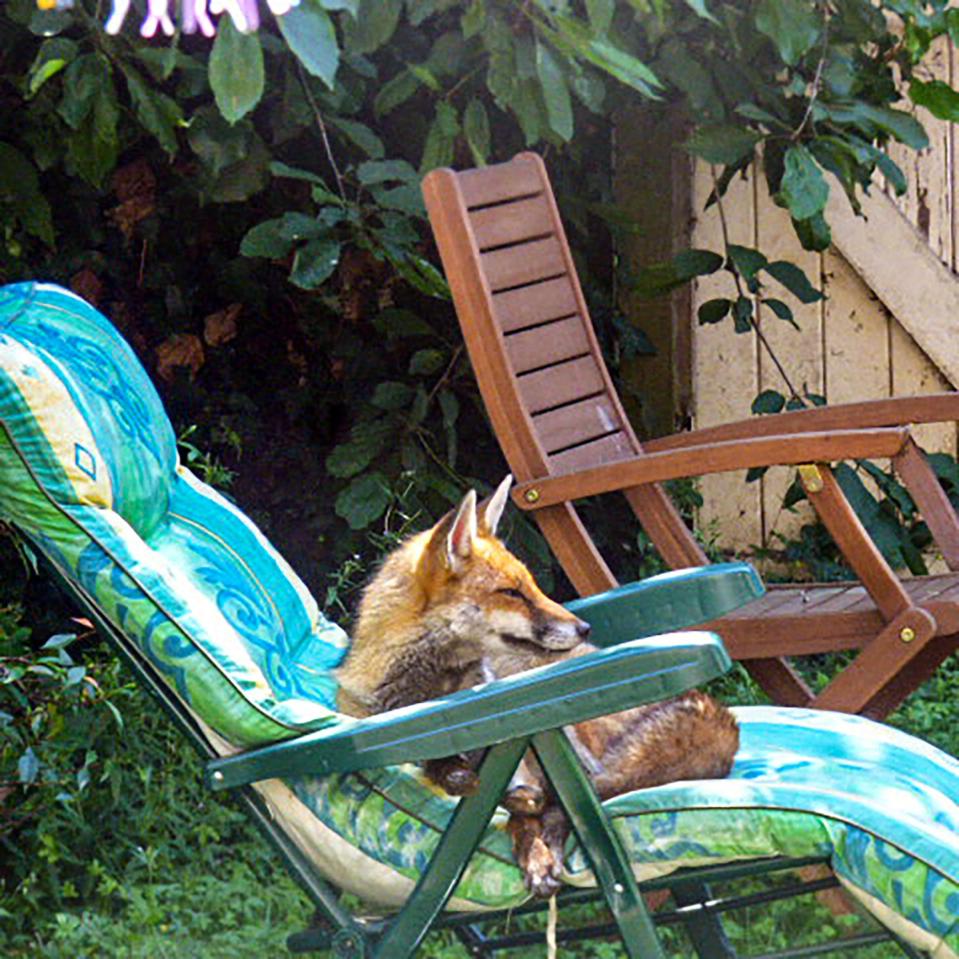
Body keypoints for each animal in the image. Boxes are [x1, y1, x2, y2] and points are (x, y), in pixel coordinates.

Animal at [338, 478, 744, 900]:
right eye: (511, 593)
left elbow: (532, 812)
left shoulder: (531, 768)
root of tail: (719, 713)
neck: (444, 698)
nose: (584, 627)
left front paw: (537, 853)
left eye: (533, 586)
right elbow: (453, 776)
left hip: (577, 738)